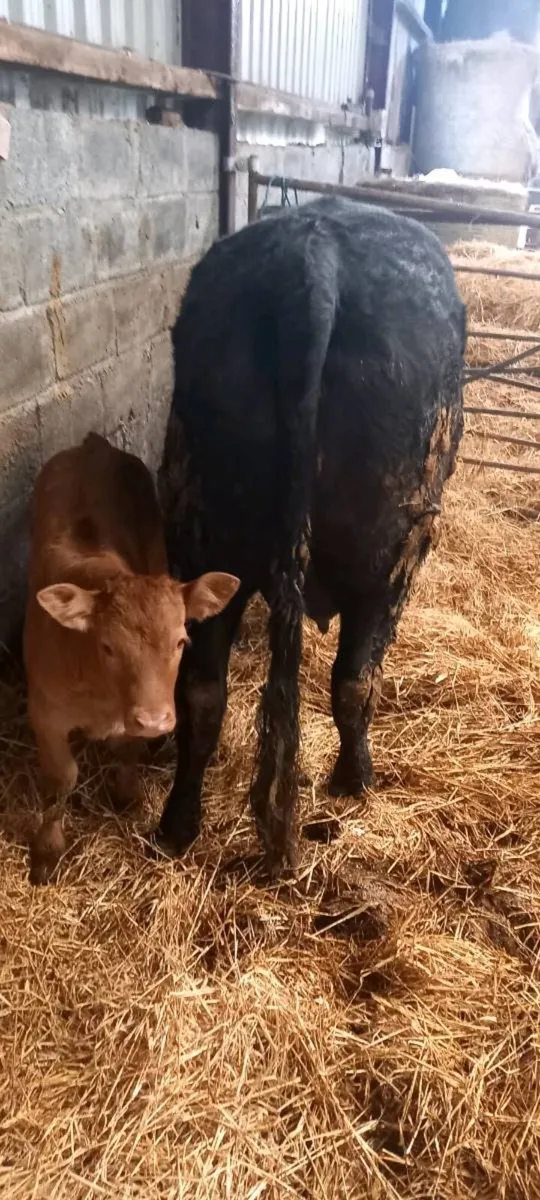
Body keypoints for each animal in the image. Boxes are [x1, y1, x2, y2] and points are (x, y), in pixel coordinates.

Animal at [24, 432, 239, 884]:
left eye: (181, 642)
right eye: (107, 646)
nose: (155, 721)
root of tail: (94, 445)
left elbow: (126, 750)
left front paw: (127, 796)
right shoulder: (44, 713)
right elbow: (61, 778)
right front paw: (47, 852)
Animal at [157, 197, 466, 877]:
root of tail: (313, 257)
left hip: (206, 542)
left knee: (202, 691)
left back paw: (178, 824)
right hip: (390, 560)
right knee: (355, 681)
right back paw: (355, 780)